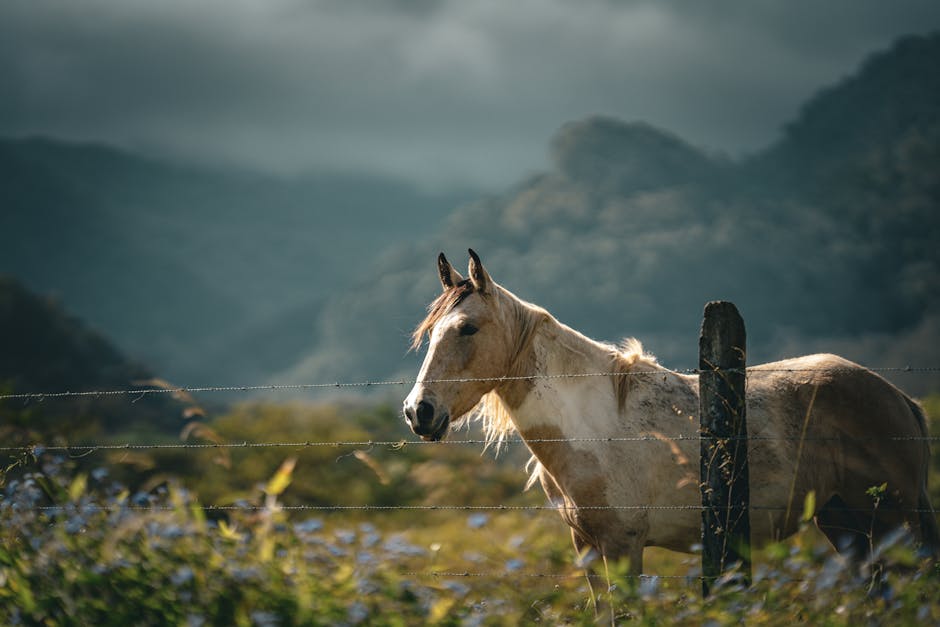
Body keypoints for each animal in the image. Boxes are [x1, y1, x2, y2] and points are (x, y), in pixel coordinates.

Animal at [404, 250, 940, 576]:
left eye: (468, 328)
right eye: (430, 334)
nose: (418, 411)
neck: (595, 427)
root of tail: (898, 397)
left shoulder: (623, 548)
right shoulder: (587, 548)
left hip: (890, 522)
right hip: (846, 525)